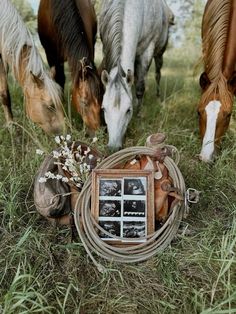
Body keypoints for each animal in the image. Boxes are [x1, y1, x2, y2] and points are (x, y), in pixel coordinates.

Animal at [99, 0, 173, 150]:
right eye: (103, 109)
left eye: (129, 110)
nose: (113, 147)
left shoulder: (147, 51)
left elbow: (140, 87)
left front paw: (139, 117)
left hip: (159, 52)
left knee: (157, 74)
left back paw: (158, 98)